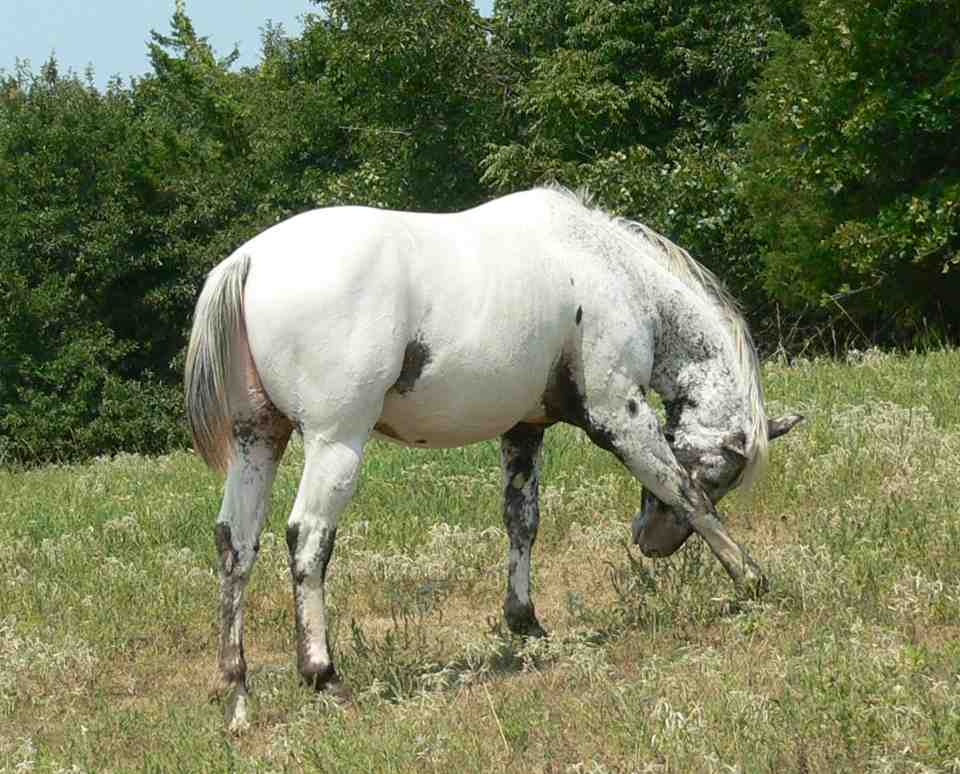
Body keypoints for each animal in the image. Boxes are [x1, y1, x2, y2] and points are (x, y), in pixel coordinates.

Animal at [184, 187, 802, 730]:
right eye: (720, 474)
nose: (650, 543)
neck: (607, 269)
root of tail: (250, 260)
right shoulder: (620, 418)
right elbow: (684, 493)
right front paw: (751, 580)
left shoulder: (523, 432)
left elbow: (521, 523)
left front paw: (525, 624)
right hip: (336, 444)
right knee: (308, 540)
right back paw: (324, 675)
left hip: (257, 443)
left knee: (236, 545)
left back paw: (236, 693)